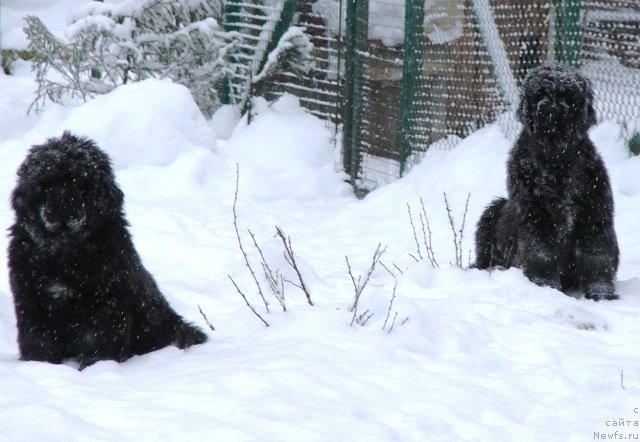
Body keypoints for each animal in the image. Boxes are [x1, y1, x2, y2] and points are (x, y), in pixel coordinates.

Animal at [8, 132, 208, 370]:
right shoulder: (33, 300)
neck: (66, 250)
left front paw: (97, 368)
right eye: (46, 184)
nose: (64, 201)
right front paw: (39, 366)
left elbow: (98, 342)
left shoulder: (106, 302)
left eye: (81, 184)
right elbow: (38, 340)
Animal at [472, 64, 616, 300]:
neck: (555, 160)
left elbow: (598, 254)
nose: (551, 108)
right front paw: (545, 285)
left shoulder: (595, 213)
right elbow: (542, 253)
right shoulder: (535, 215)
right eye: (540, 93)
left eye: (567, 95)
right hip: (493, 211)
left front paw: (601, 293)